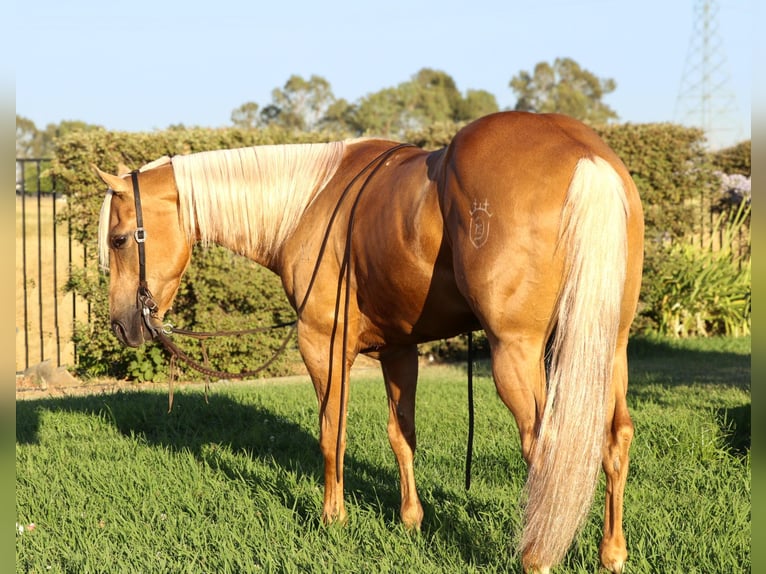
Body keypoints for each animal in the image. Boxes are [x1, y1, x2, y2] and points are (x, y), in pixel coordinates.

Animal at [95, 111, 644, 573]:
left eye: (119, 239)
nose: (122, 325)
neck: (308, 204)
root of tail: (586, 158)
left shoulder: (323, 345)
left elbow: (331, 433)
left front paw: (332, 517)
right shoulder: (398, 350)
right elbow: (402, 434)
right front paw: (411, 519)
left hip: (517, 353)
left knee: (545, 448)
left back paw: (536, 556)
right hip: (611, 348)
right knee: (615, 438)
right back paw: (611, 553)